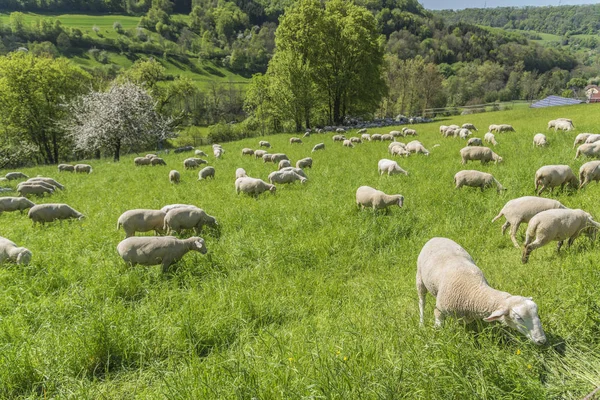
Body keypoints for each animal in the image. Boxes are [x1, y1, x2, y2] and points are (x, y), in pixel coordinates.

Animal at [418, 238, 548, 344]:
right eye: (519, 318)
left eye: (537, 314)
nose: (542, 341)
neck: (473, 289)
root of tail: (436, 237)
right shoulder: (439, 309)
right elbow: (438, 323)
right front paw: (437, 336)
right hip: (419, 278)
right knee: (421, 301)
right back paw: (421, 323)